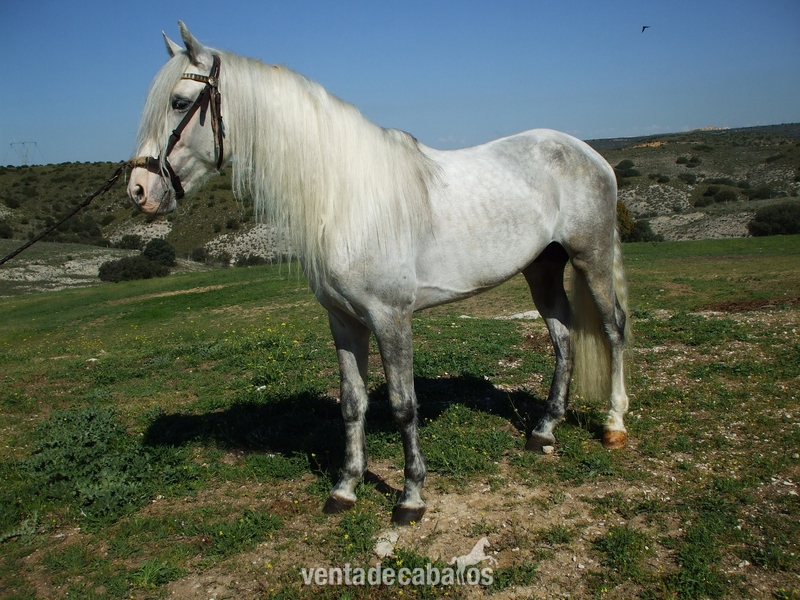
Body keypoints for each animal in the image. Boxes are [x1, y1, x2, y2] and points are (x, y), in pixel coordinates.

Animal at [127, 22, 630, 525]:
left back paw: (614, 425)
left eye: (178, 102)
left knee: (612, 328)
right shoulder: (344, 321)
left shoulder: (391, 318)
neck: (347, 200)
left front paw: (411, 497)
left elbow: (403, 406)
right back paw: (544, 430)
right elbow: (352, 404)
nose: (139, 190)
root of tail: (587, 153)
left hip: (591, 259)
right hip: (542, 269)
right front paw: (345, 488)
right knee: (563, 337)